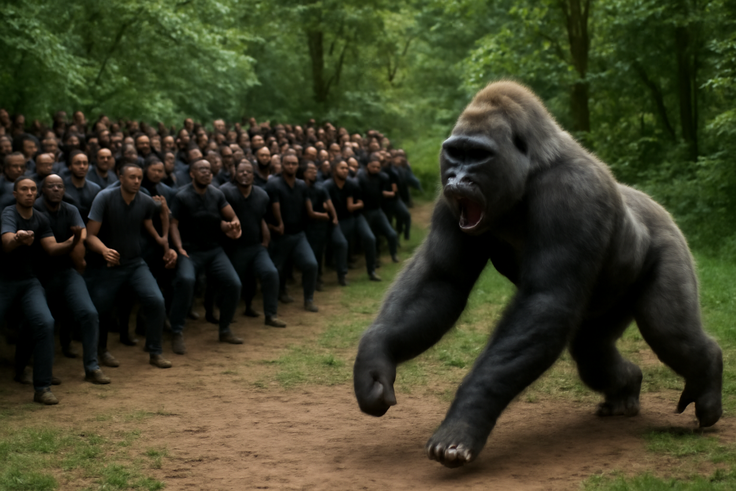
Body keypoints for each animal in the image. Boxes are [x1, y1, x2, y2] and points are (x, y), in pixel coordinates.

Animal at [353, 80, 723, 468]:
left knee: (669, 332)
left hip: (668, 237)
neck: (531, 168)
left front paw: (463, 421)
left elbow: (545, 301)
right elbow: (440, 281)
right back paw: (626, 389)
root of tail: (653, 203)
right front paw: (375, 359)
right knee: (592, 352)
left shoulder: (572, 194)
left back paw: (707, 375)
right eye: (455, 153)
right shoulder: (447, 203)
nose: (457, 178)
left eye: (478, 155)